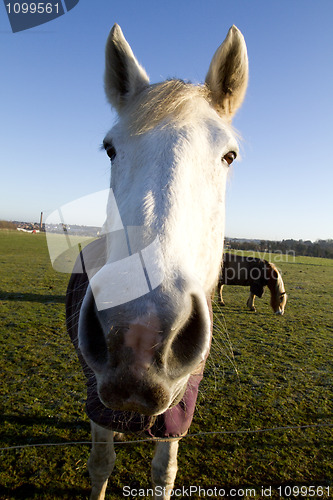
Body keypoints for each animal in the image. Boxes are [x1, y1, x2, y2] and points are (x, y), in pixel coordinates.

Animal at [65, 23, 246, 500]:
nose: (138, 336)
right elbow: (100, 463)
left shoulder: (180, 409)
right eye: (110, 149)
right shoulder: (97, 397)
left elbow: (164, 472)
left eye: (229, 155)